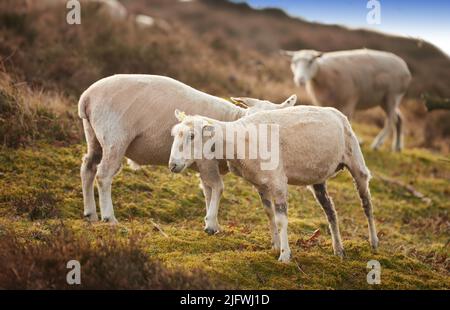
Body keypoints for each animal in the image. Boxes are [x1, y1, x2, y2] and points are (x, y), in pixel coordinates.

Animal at [77, 74, 296, 230]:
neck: (230, 121)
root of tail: (86, 97)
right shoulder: (207, 160)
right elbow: (217, 188)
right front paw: (212, 224)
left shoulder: (204, 164)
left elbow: (208, 190)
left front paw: (210, 221)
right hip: (114, 137)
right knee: (104, 174)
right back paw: (109, 217)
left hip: (94, 136)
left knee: (88, 167)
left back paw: (90, 214)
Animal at [282, 47, 412, 153]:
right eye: (293, 62)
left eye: (311, 61)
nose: (300, 80)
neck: (322, 73)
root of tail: (405, 68)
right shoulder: (325, 103)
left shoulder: (349, 100)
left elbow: (348, 120)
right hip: (385, 100)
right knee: (399, 119)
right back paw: (397, 147)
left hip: (393, 95)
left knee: (391, 120)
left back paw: (377, 144)